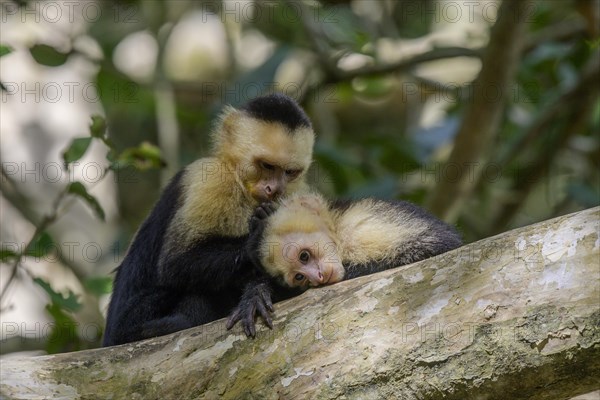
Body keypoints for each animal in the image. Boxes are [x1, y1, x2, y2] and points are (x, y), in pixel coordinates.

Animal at [103, 94, 316, 346]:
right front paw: (258, 240)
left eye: (289, 172)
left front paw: (256, 293)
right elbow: (176, 263)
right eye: (267, 165)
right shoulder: (211, 178)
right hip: (131, 322)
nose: (274, 189)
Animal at [227, 192, 462, 336]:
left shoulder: (363, 223)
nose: (317, 277)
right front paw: (257, 292)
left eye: (304, 256)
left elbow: (438, 244)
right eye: (299, 277)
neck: (338, 232)